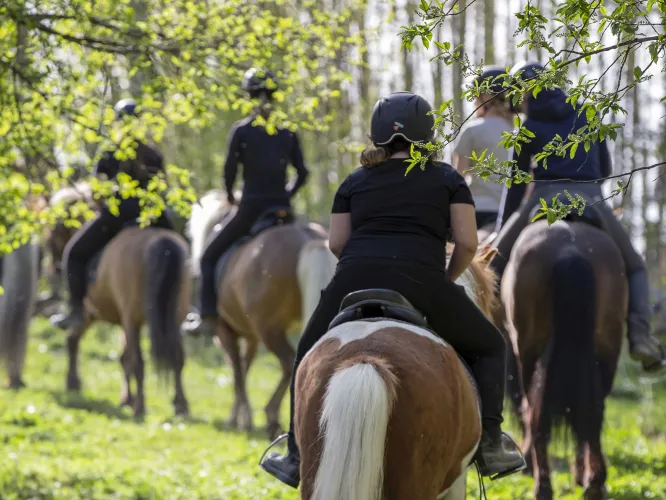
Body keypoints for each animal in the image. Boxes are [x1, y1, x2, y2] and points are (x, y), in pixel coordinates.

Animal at [187, 190, 334, 438]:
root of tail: (307, 238)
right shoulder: (251, 337)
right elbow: (244, 367)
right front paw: (237, 415)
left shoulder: (225, 332)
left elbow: (237, 372)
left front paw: (242, 419)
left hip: (270, 329)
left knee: (289, 363)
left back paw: (271, 414)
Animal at [500, 219, 624, 500]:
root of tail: (570, 249)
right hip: (608, 350)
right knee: (592, 410)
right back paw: (595, 483)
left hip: (528, 351)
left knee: (536, 416)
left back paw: (544, 484)